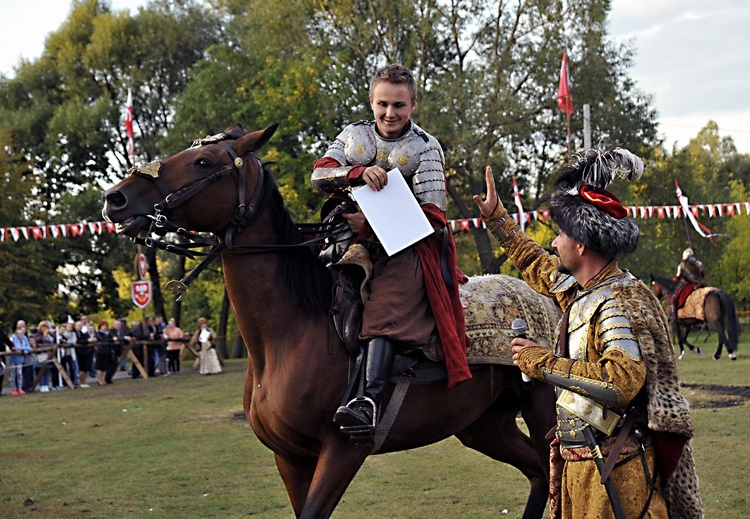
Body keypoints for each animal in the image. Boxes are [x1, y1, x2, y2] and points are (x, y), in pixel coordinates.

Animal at [101, 124, 560, 516]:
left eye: (203, 161)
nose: (116, 198)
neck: (287, 337)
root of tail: (548, 299)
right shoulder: (290, 456)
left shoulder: (343, 450)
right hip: (482, 424)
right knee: (538, 475)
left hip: (542, 412)